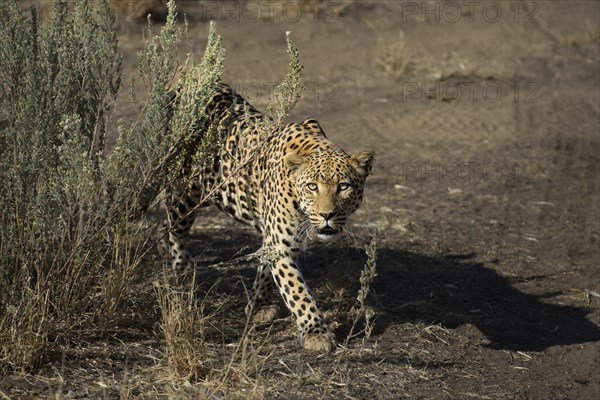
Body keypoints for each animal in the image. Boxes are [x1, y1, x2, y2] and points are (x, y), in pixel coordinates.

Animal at [159, 83, 376, 352]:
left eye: (343, 186)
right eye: (312, 187)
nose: (327, 215)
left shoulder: (277, 240)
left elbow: (265, 273)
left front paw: (257, 306)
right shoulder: (281, 245)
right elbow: (298, 292)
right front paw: (316, 333)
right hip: (185, 194)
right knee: (171, 226)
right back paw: (182, 268)